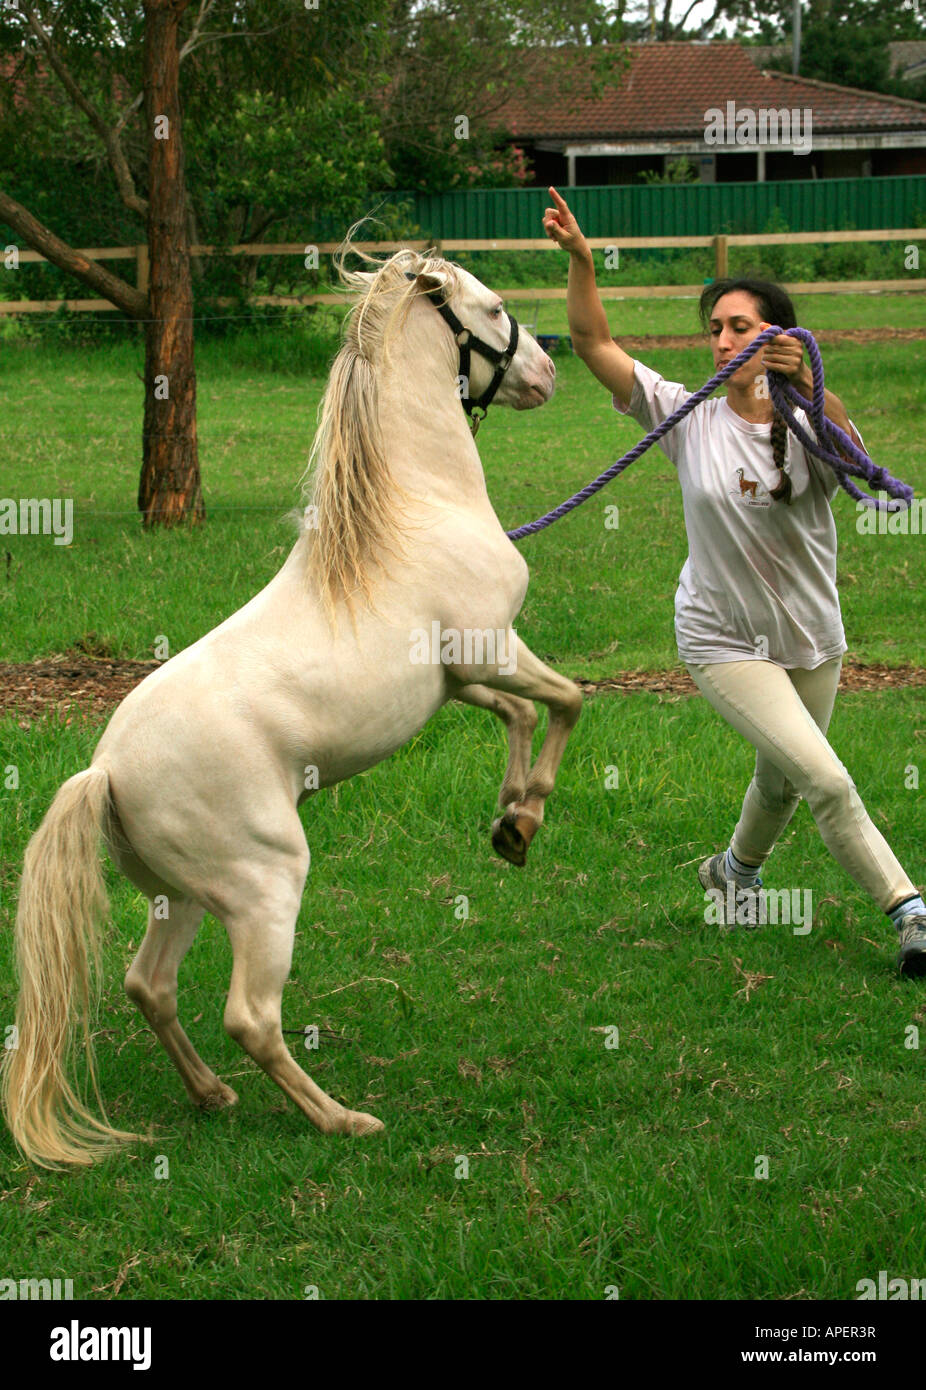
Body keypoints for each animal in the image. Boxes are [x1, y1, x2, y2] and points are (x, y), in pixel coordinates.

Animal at [2, 241, 583, 1168]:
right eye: (493, 309)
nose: (546, 374)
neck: (415, 509)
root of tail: (106, 773)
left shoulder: (461, 678)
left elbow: (521, 715)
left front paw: (508, 823)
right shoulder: (494, 647)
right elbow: (567, 701)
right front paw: (524, 820)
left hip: (185, 897)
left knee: (148, 986)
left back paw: (212, 1095)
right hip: (266, 886)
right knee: (250, 1017)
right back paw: (342, 1118)